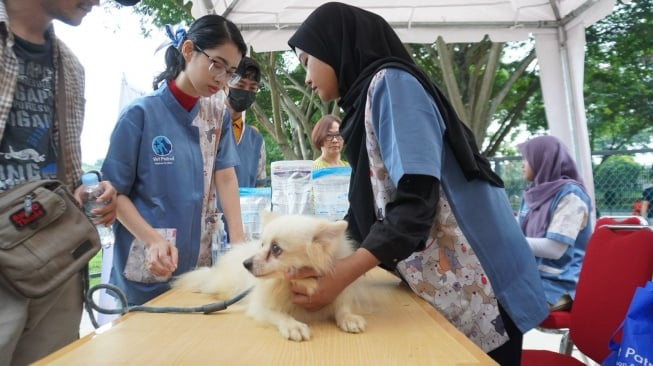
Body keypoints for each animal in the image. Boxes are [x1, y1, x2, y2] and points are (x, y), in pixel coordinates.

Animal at [172, 213, 366, 342]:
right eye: (262, 244)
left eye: (275, 249)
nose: (246, 263)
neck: (292, 283)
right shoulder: (260, 307)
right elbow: (279, 314)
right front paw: (293, 326)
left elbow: (342, 307)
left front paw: (349, 318)